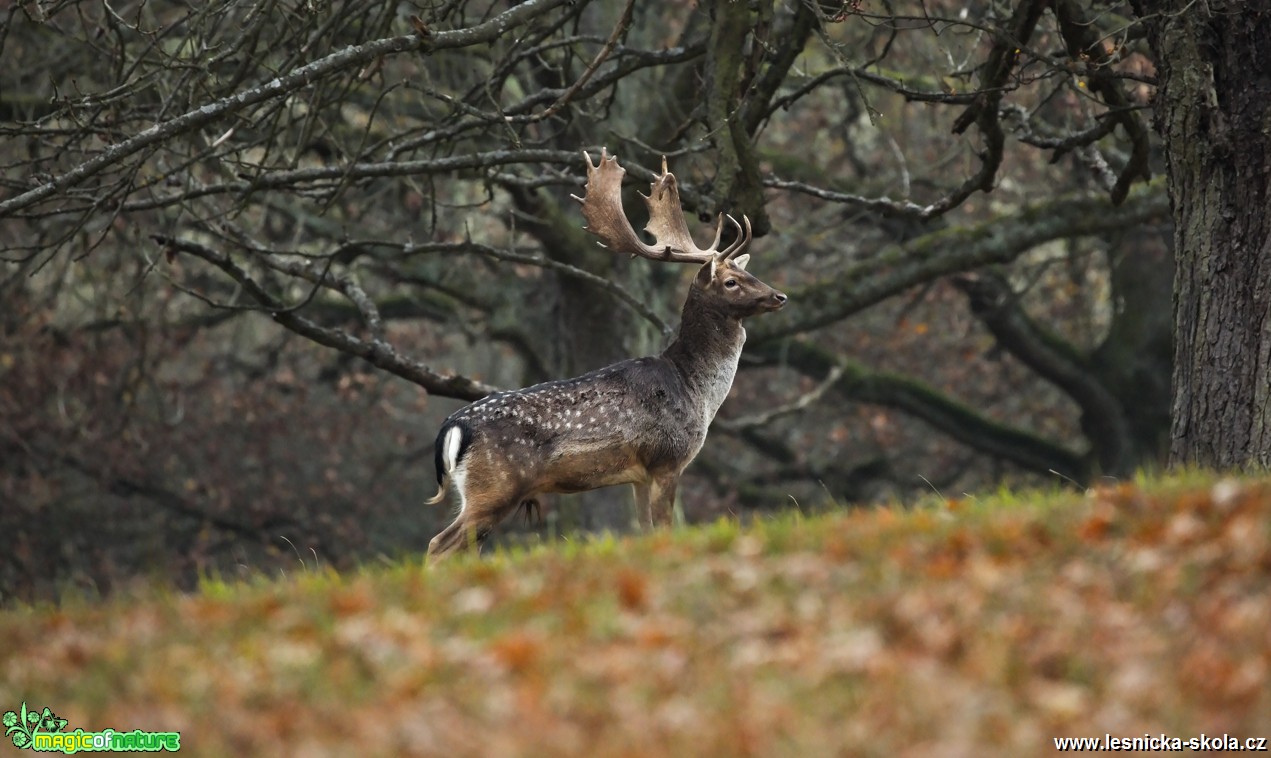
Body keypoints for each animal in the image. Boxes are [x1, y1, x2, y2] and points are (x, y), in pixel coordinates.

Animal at [424, 148, 782, 562]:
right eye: (731, 282)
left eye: (747, 273)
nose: (779, 296)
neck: (695, 390)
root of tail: (452, 428)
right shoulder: (667, 459)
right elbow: (665, 529)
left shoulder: (639, 474)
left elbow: (646, 531)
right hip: (495, 487)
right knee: (438, 544)